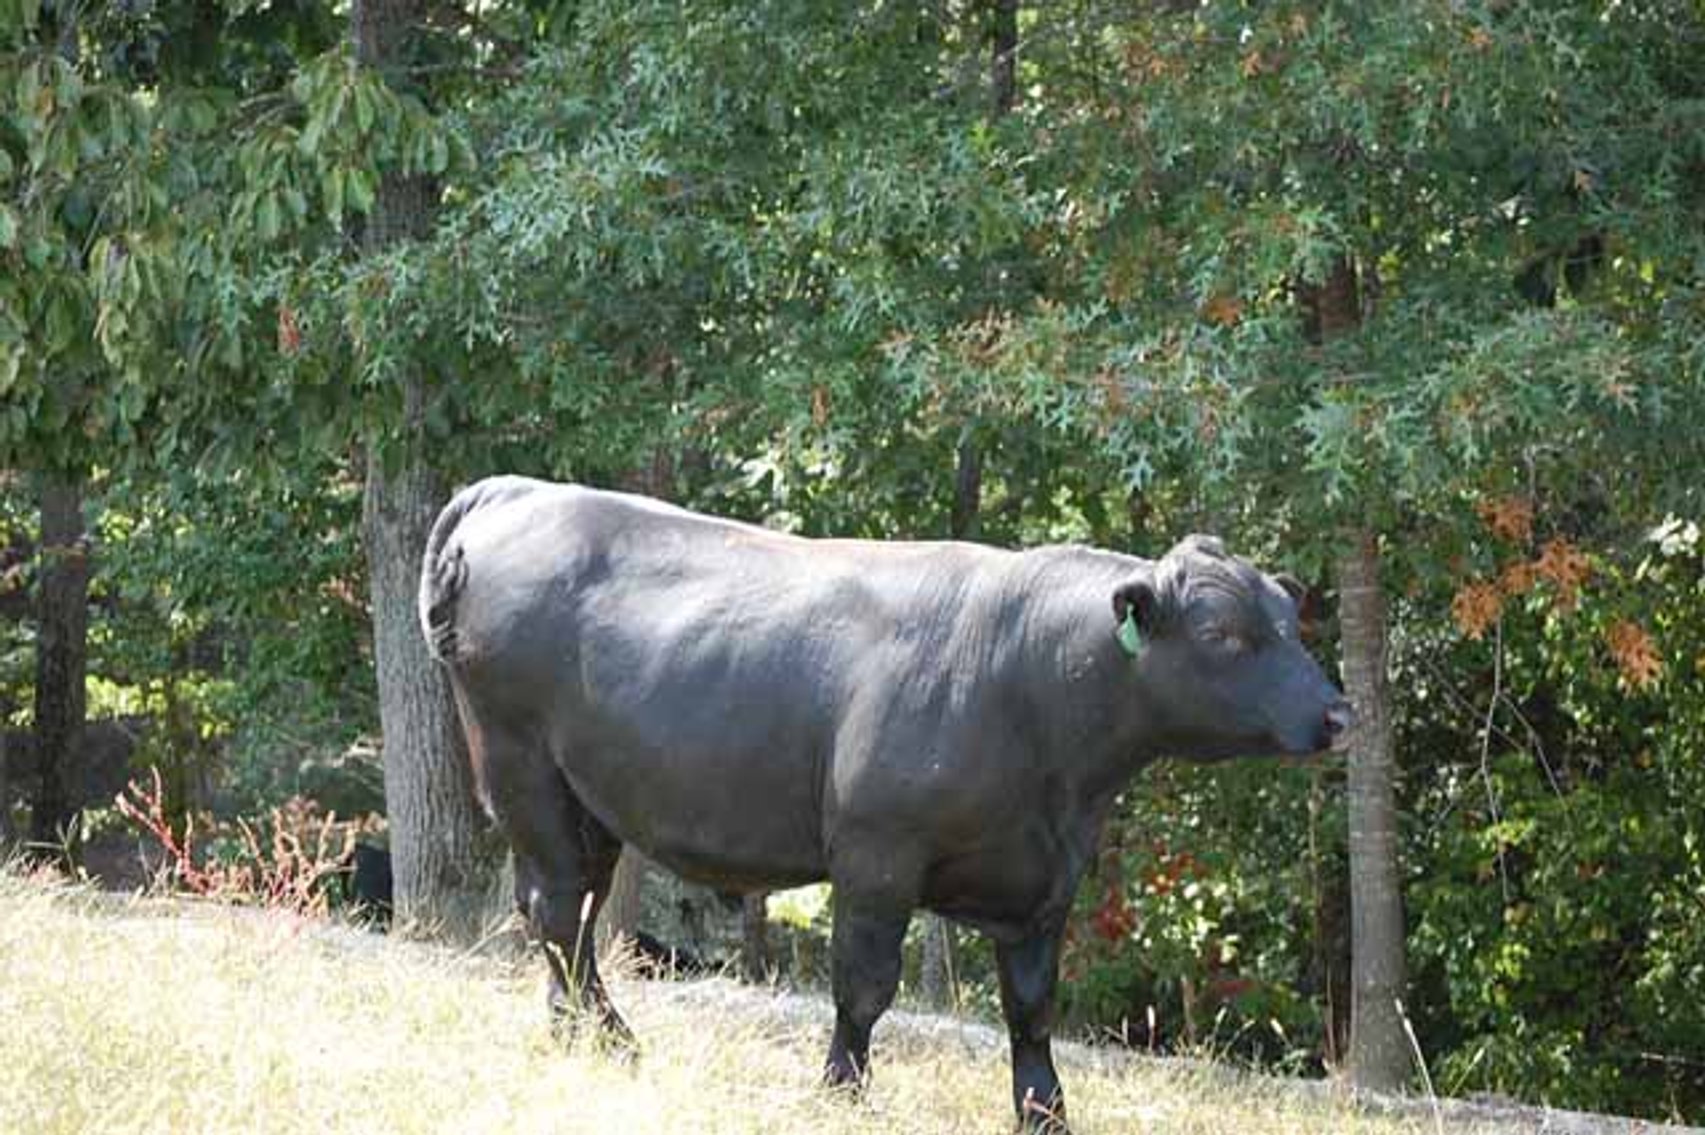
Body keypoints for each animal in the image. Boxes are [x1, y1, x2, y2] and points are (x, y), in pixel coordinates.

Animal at [418, 475, 1351, 1130]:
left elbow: (1031, 1007)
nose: (1338, 713)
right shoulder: (876, 855)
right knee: (553, 908)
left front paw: (1045, 1112)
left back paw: (570, 1034)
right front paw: (842, 1093)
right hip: (519, 763)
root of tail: (521, 490)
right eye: (1223, 634)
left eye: (1288, 622)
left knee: (569, 913)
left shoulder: (1049, 878)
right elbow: (863, 988)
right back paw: (613, 1041)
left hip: (592, 794)